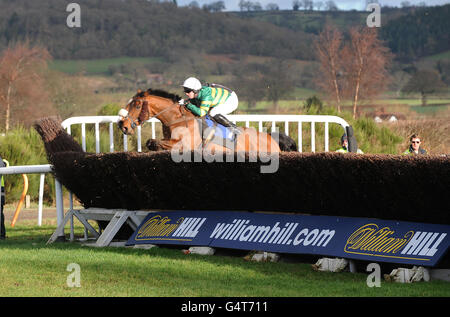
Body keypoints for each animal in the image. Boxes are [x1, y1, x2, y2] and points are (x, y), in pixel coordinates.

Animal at [118, 89, 298, 153]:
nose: (124, 126)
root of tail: (271, 138)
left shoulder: (186, 145)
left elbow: (155, 142)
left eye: (137, 105)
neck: (177, 119)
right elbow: (152, 142)